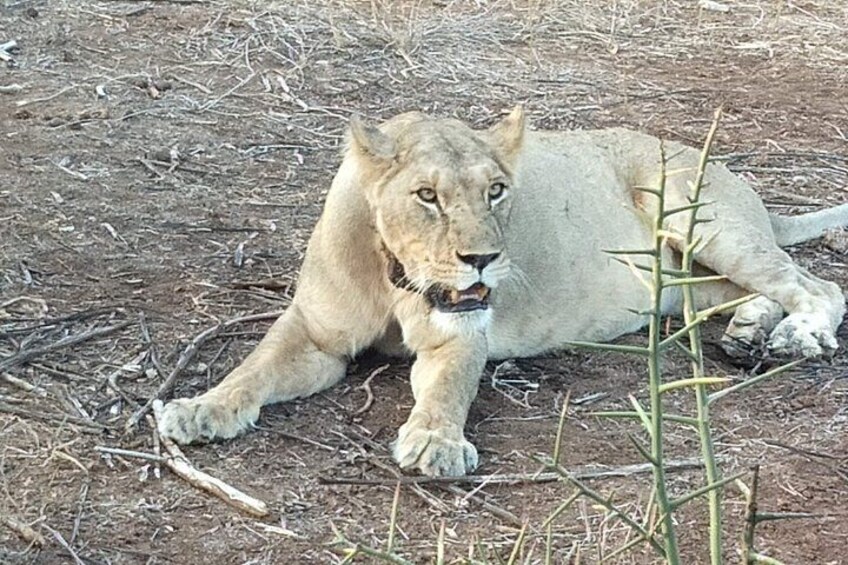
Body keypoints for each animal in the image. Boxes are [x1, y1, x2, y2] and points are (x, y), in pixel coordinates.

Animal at [158, 107, 848, 477]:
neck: (394, 272)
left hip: (698, 216)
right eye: (427, 195)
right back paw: (747, 334)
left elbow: (447, 391)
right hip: (683, 279)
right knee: (748, 288)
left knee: (816, 283)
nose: (483, 261)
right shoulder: (314, 332)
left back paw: (795, 337)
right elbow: (253, 367)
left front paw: (435, 443)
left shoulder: (460, 337)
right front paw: (197, 409)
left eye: (495, 190)